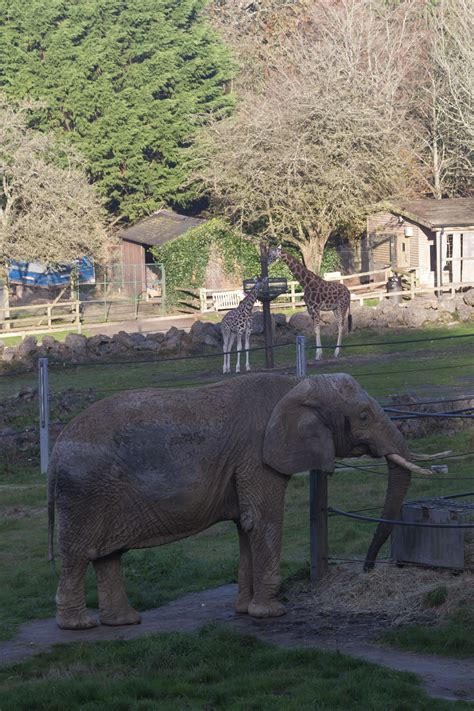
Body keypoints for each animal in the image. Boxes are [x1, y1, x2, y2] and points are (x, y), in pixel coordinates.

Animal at [47, 372, 430, 628]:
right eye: (364, 416)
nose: (368, 569)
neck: (295, 383)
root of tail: (56, 446)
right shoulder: (256, 456)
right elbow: (262, 520)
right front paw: (271, 613)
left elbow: (246, 528)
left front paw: (245, 611)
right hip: (85, 490)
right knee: (78, 553)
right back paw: (79, 625)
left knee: (107, 554)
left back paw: (124, 621)